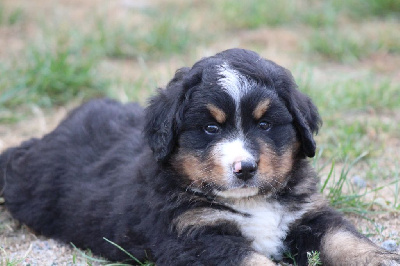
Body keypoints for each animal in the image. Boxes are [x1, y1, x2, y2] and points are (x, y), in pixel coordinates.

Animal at [0, 48, 400, 264]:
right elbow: (251, 259)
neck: (252, 202)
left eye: (265, 124)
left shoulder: (308, 212)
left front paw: (378, 260)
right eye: (210, 128)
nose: (245, 168)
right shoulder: (194, 238)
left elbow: (344, 238)